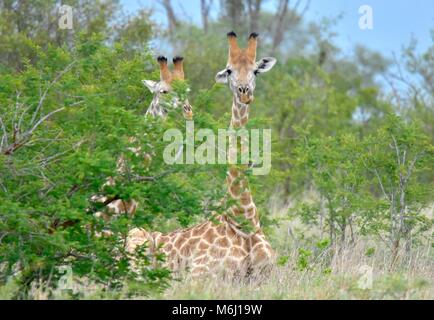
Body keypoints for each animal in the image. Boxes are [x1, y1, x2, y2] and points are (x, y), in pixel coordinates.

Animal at [127, 31, 278, 278]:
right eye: (229, 70)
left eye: (256, 70)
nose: (244, 93)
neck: (242, 219)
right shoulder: (201, 274)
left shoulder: (270, 274)